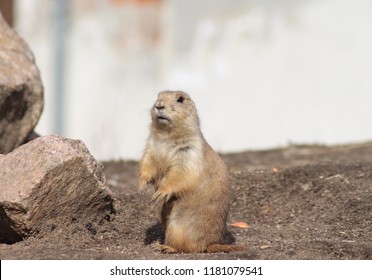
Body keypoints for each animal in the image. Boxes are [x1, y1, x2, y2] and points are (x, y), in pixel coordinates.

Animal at [140, 91, 241, 253]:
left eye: (180, 99)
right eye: (158, 96)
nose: (159, 105)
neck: (166, 136)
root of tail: (209, 243)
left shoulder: (190, 153)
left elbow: (181, 174)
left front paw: (160, 193)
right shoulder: (150, 148)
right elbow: (147, 164)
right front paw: (142, 185)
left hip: (177, 226)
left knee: (186, 247)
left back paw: (164, 246)